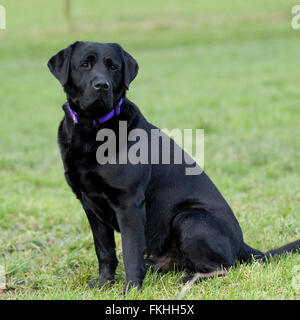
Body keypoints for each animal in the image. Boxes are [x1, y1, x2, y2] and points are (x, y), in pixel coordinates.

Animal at [47, 41, 300, 294]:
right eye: (84, 64)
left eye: (113, 67)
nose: (102, 85)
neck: (93, 129)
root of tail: (242, 245)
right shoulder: (89, 205)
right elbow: (105, 251)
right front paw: (104, 283)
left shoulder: (129, 203)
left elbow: (130, 252)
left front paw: (132, 290)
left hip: (188, 220)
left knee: (224, 267)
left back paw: (188, 280)